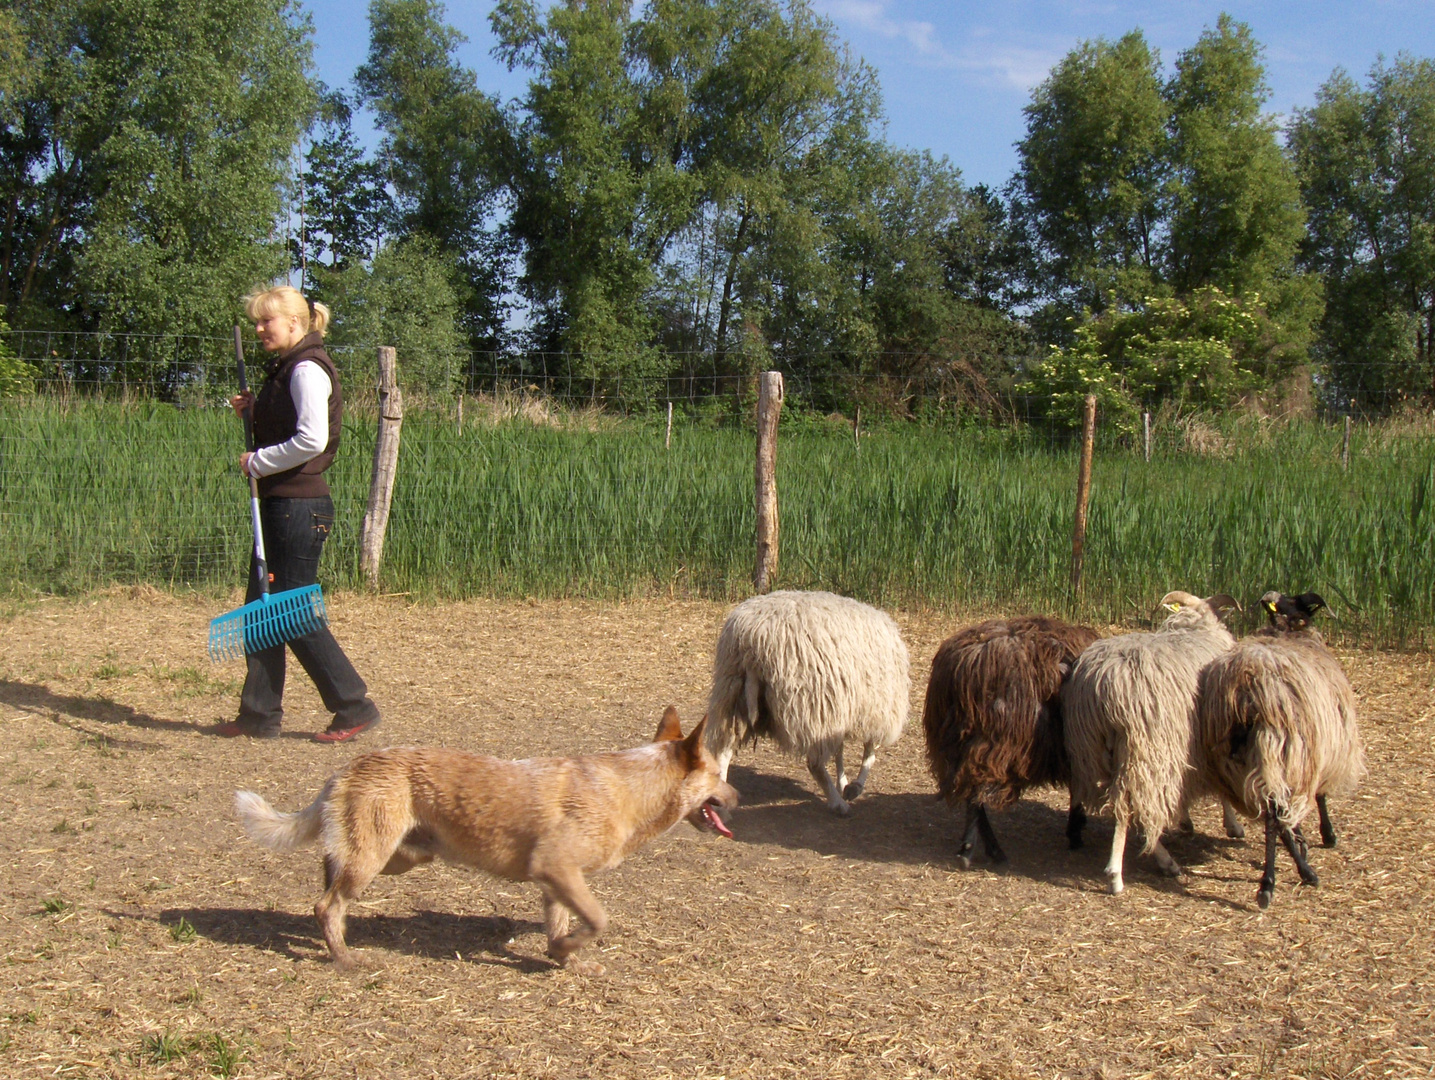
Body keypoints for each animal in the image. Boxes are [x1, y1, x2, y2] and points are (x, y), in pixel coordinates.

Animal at [235, 708, 740, 969]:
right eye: (720, 775)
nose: (739, 797)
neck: (631, 787)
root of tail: (346, 768)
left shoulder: (555, 881)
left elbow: (561, 926)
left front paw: (562, 957)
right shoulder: (558, 869)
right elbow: (598, 920)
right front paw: (570, 951)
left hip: (398, 856)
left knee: (328, 871)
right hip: (373, 858)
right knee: (327, 905)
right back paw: (345, 958)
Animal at [703, 593, 906, 814]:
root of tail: (752, 638)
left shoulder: (842, 709)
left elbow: (840, 751)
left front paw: (844, 783)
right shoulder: (878, 709)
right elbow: (869, 752)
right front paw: (854, 787)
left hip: (732, 693)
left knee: (723, 752)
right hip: (813, 705)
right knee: (815, 764)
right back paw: (838, 804)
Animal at [1061, 590, 1239, 894]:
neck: (1195, 626)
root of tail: (1103, 684)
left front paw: (1186, 819)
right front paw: (1233, 824)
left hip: (1092, 750)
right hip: (1142, 748)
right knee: (1128, 808)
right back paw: (1119, 875)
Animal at [1193, 613, 1360, 912]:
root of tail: (1244, 690)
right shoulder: (1315, 755)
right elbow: (1320, 796)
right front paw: (1327, 835)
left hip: (1235, 763)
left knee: (1274, 812)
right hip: (1277, 749)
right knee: (1274, 813)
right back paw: (1282, 879)